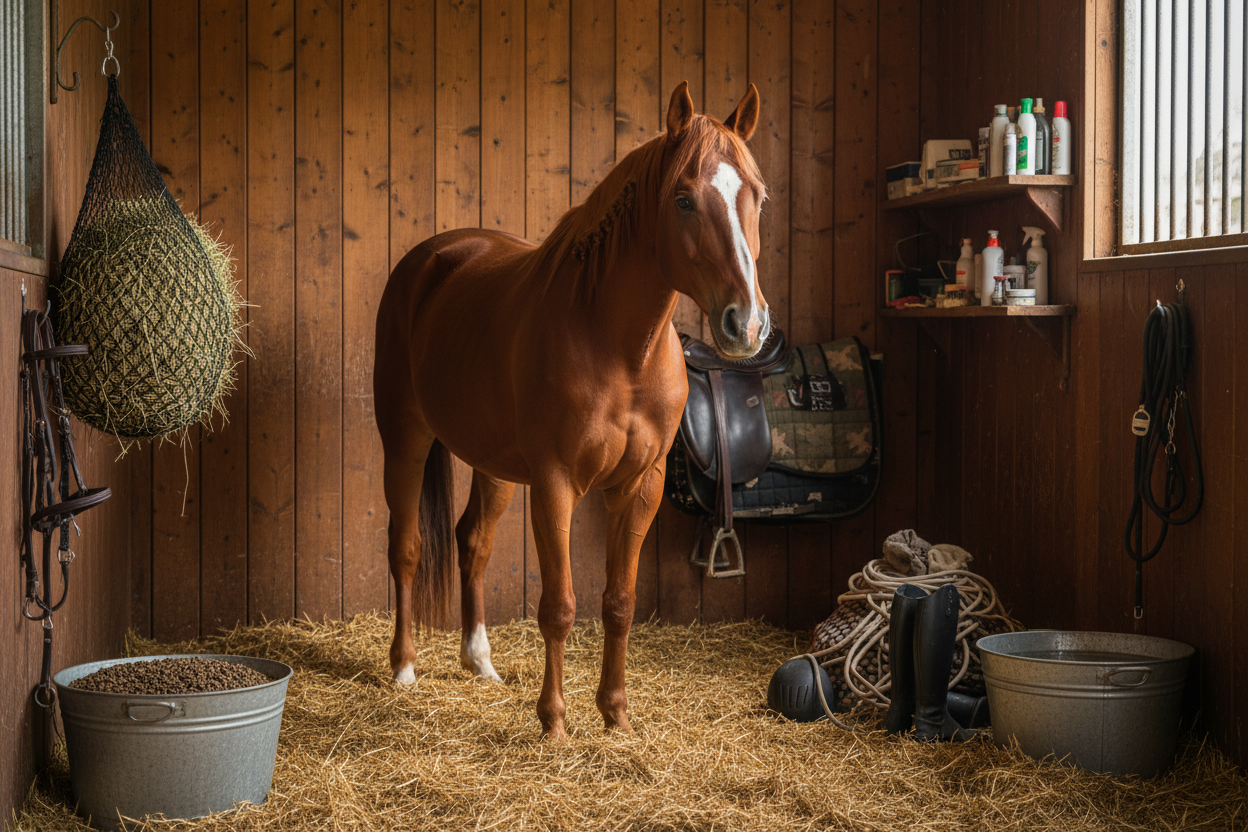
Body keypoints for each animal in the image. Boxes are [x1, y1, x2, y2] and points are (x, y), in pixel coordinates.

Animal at [373, 81, 770, 739]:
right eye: (684, 199)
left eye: (758, 196)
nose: (747, 324)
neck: (617, 346)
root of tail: (430, 258)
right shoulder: (555, 483)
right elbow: (559, 606)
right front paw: (555, 723)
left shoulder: (640, 486)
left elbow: (620, 603)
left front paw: (616, 716)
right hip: (405, 440)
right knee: (405, 546)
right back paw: (403, 667)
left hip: (495, 467)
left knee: (472, 542)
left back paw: (479, 661)